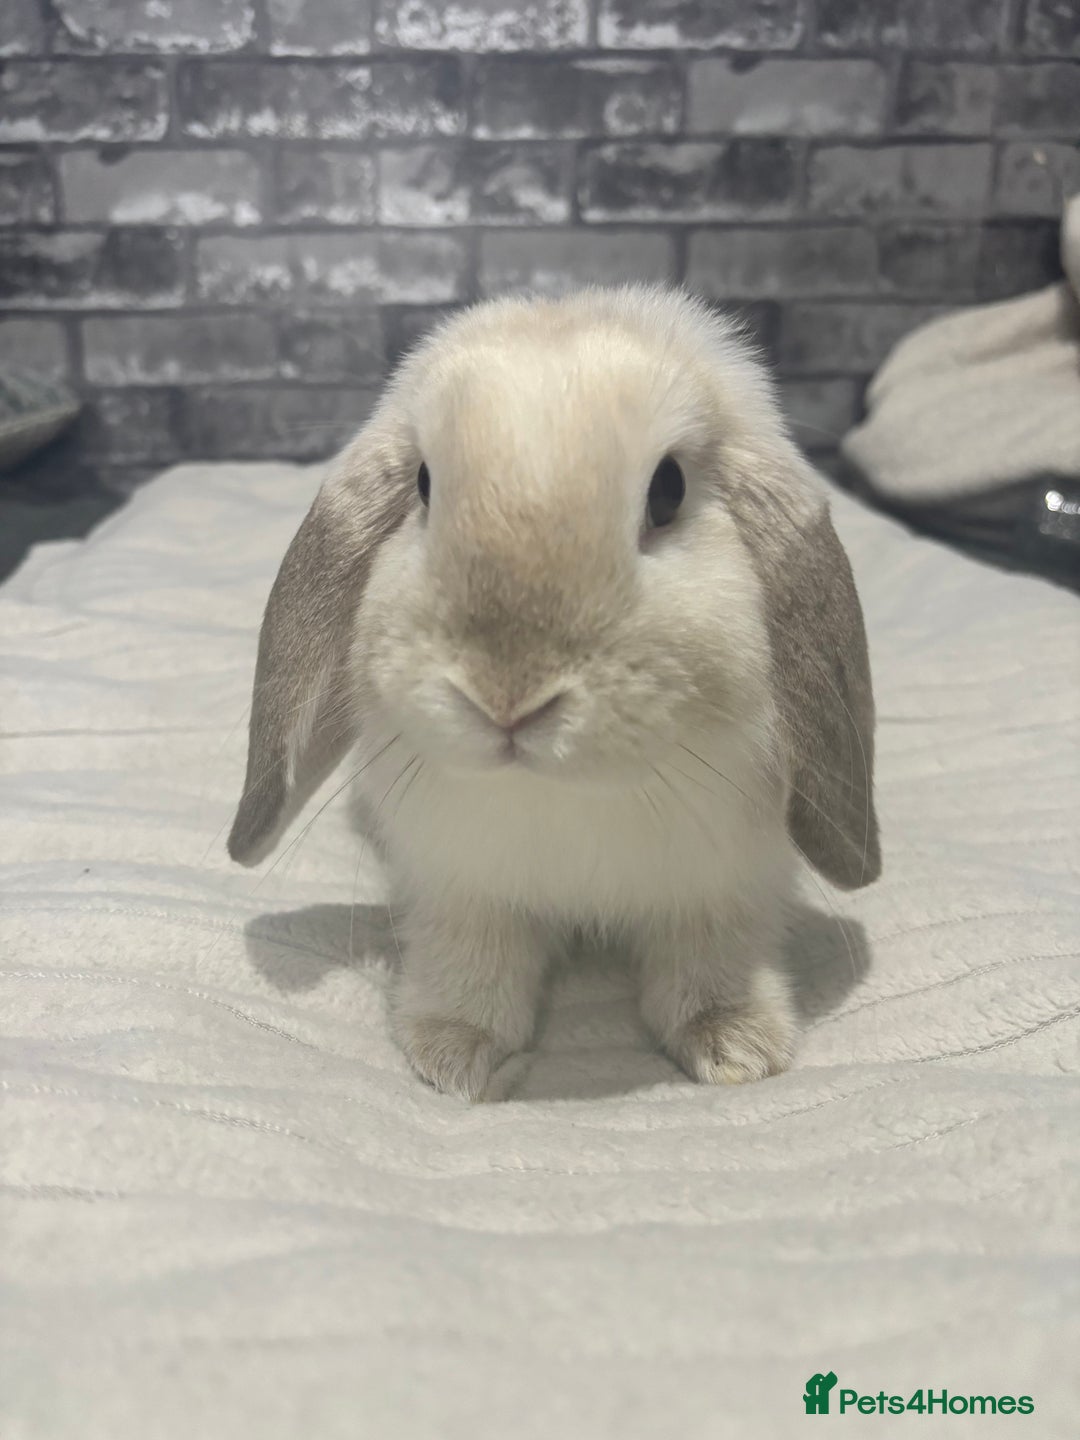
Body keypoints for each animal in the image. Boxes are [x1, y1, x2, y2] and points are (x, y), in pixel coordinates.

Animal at [228, 284, 880, 1100]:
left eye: (669, 490)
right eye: (423, 486)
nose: (507, 694)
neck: (568, 795)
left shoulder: (724, 886)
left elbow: (711, 958)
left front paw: (737, 1046)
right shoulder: (462, 888)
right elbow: (476, 962)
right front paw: (454, 1053)